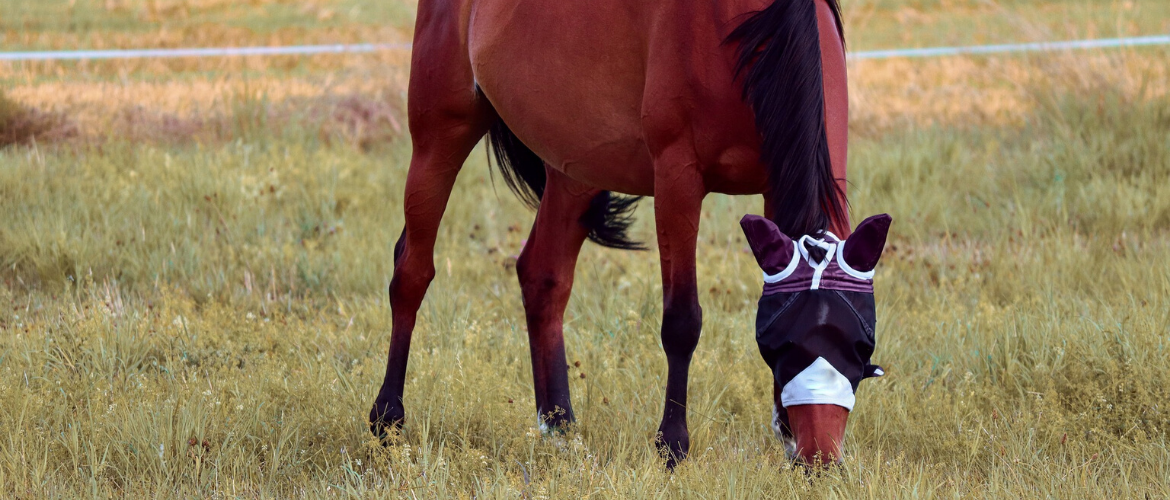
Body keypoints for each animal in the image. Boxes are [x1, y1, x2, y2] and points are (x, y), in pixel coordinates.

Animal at [369, 0, 875, 466]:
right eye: (784, 346)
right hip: (440, 135)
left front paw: (782, 431)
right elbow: (682, 320)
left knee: (542, 277)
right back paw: (387, 420)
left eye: (861, 346)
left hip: (574, 168)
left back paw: (558, 426)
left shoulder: (773, 184)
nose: (820, 458)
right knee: (411, 272)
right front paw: (672, 445)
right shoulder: (677, 178)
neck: (749, 28)